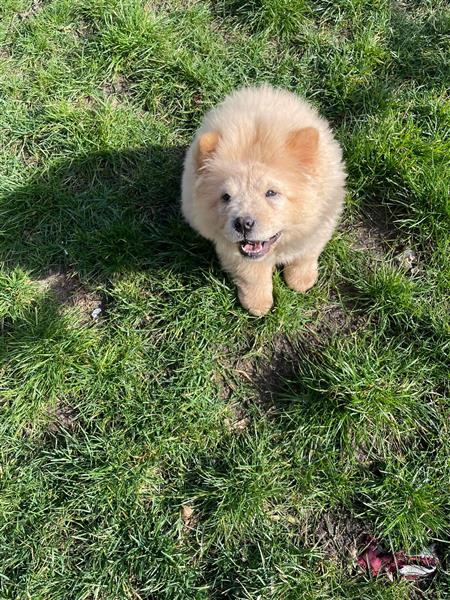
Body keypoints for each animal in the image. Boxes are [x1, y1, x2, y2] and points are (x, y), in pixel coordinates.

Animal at [179, 87, 344, 318]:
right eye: (226, 197)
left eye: (271, 193)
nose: (242, 223)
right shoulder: (231, 248)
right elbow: (252, 274)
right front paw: (258, 305)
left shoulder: (321, 222)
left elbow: (306, 254)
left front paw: (301, 281)